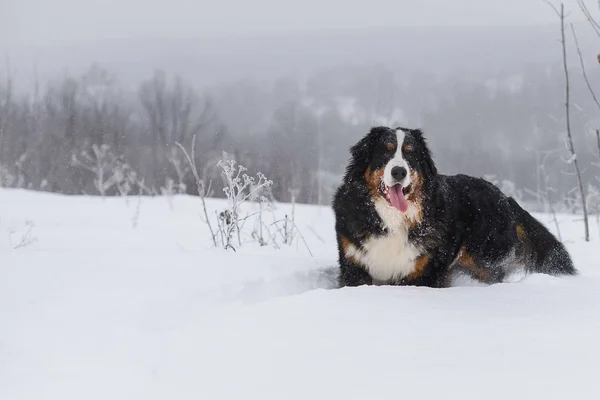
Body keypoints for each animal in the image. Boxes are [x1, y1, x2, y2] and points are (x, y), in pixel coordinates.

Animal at [332, 126, 576, 286]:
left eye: (411, 154)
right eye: (386, 150)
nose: (399, 171)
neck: (393, 218)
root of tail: (505, 197)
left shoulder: (424, 273)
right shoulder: (355, 265)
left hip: (486, 262)